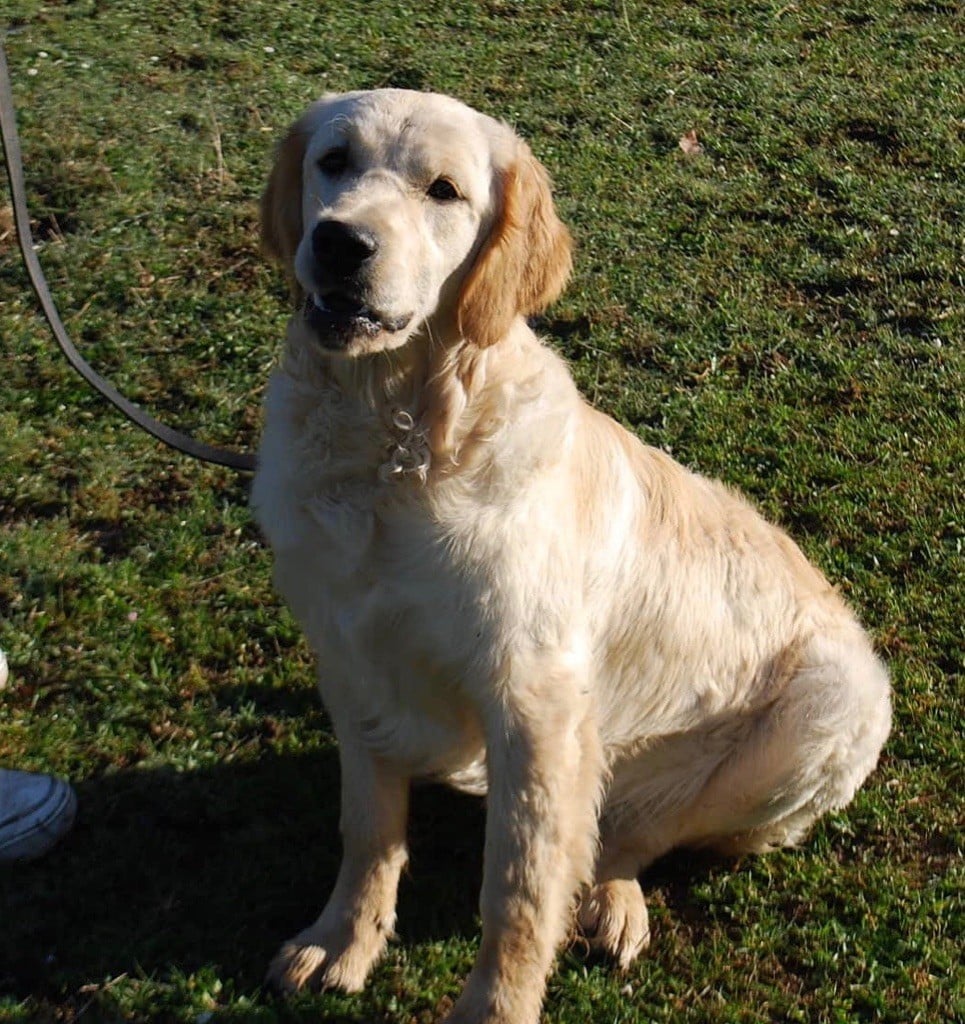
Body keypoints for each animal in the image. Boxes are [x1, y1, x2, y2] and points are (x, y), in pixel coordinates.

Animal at [253, 90, 893, 1024]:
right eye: (332, 162)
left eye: (443, 190)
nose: (341, 242)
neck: (393, 446)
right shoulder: (351, 657)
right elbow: (368, 825)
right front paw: (344, 936)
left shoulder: (534, 700)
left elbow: (517, 890)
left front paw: (497, 1007)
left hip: (831, 707)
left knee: (623, 836)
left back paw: (614, 904)